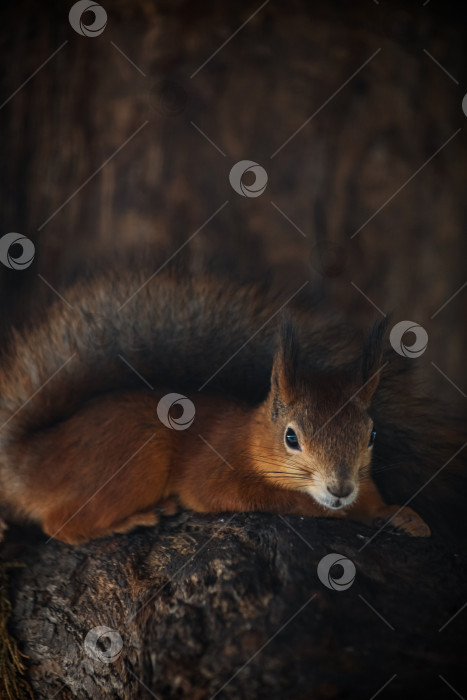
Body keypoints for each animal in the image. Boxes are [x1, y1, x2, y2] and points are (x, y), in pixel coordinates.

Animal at [0, 266, 432, 544]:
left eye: (371, 434)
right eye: (291, 437)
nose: (340, 489)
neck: (254, 440)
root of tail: (31, 461)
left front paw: (402, 516)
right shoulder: (213, 472)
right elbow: (266, 498)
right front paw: (332, 509)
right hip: (133, 458)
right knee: (59, 526)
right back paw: (131, 521)